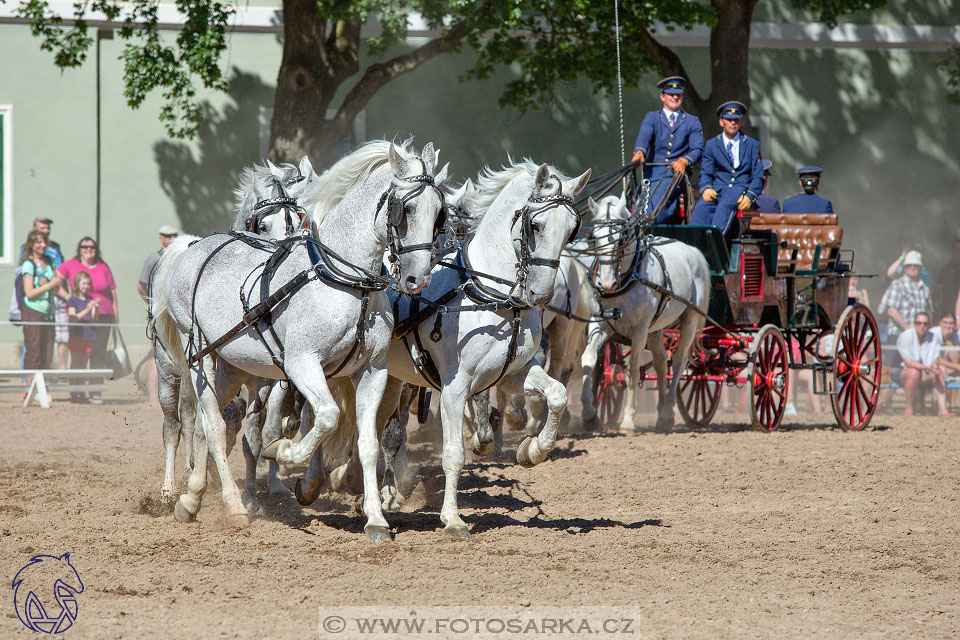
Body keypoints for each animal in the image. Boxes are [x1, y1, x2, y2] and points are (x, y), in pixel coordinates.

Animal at [153, 141, 446, 540]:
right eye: (407, 208)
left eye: (439, 212)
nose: (418, 279)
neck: (347, 280)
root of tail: (194, 247)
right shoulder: (302, 363)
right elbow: (326, 417)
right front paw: (283, 453)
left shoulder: (372, 371)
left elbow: (367, 443)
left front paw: (375, 519)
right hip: (198, 354)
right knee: (211, 425)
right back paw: (231, 505)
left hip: (231, 365)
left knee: (201, 427)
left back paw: (191, 499)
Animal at [580, 194, 708, 436]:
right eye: (594, 238)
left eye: (622, 237)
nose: (606, 283)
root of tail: (693, 251)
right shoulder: (599, 324)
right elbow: (589, 360)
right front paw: (589, 413)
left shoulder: (638, 332)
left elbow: (632, 372)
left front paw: (628, 421)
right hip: (656, 329)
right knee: (661, 363)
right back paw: (662, 416)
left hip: (689, 319)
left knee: (678, 362)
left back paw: (667, 411)